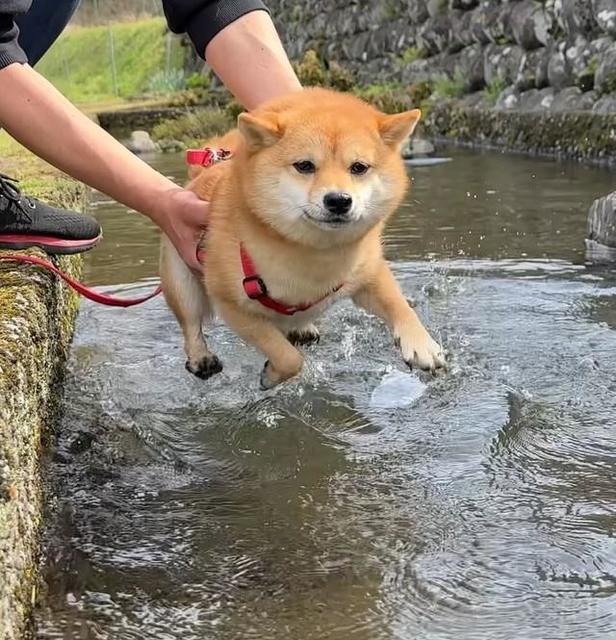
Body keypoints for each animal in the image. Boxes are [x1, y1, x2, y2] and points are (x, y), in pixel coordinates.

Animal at [161, 87, 446, 388]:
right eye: (305, 165)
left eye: (359, 167)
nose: (338, 200)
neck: (315, 255)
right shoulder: (231, 304)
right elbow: (286, 356)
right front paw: (271, 376)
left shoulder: (369, 269)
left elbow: (399, 304)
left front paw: (422, 345)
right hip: (181, 281)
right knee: (191, 323)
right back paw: (201, 358)